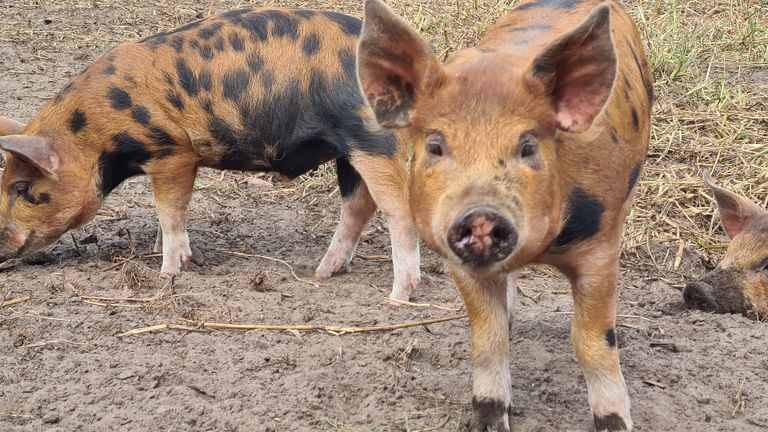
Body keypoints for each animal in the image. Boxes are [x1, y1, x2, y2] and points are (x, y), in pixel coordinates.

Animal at [0, 8, 420, 302]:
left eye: (25, 189)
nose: (0, 246)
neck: (95, 132)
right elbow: (172, 214)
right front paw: (171, 254)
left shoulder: (173, 152)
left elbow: (170, 211)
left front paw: (167, 272)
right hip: (348, 150)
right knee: (358, 206)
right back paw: (322, 273)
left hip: (371, 139)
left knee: (400, 212)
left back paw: (397, 297)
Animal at [360, 0, 656, 430]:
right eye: (435, 145)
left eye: (528, 145)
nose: (481, 214)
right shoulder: (459, 263)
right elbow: (488, 337)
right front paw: (490, 418)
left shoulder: (600, 246)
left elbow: (591, 341)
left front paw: (615, 423)